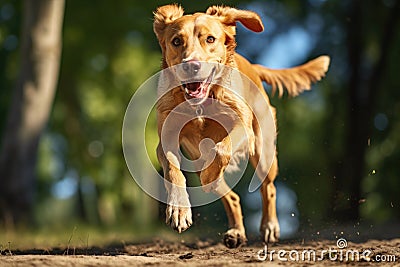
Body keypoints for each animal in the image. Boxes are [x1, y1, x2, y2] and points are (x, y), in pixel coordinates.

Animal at [152, 3, 328, 249]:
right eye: (177, 41)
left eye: (210, 39)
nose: (192, 66)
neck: (200, 107)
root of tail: (252, 66)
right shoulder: (166, 140)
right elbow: (173, 170)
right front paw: (179, 210)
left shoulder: (244, 130)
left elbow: (221, 148)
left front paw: (209, 176)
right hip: (197, 158)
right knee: (232, 197)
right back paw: (235, 232)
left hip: (263, 151)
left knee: (269, 188)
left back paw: (269, 226)